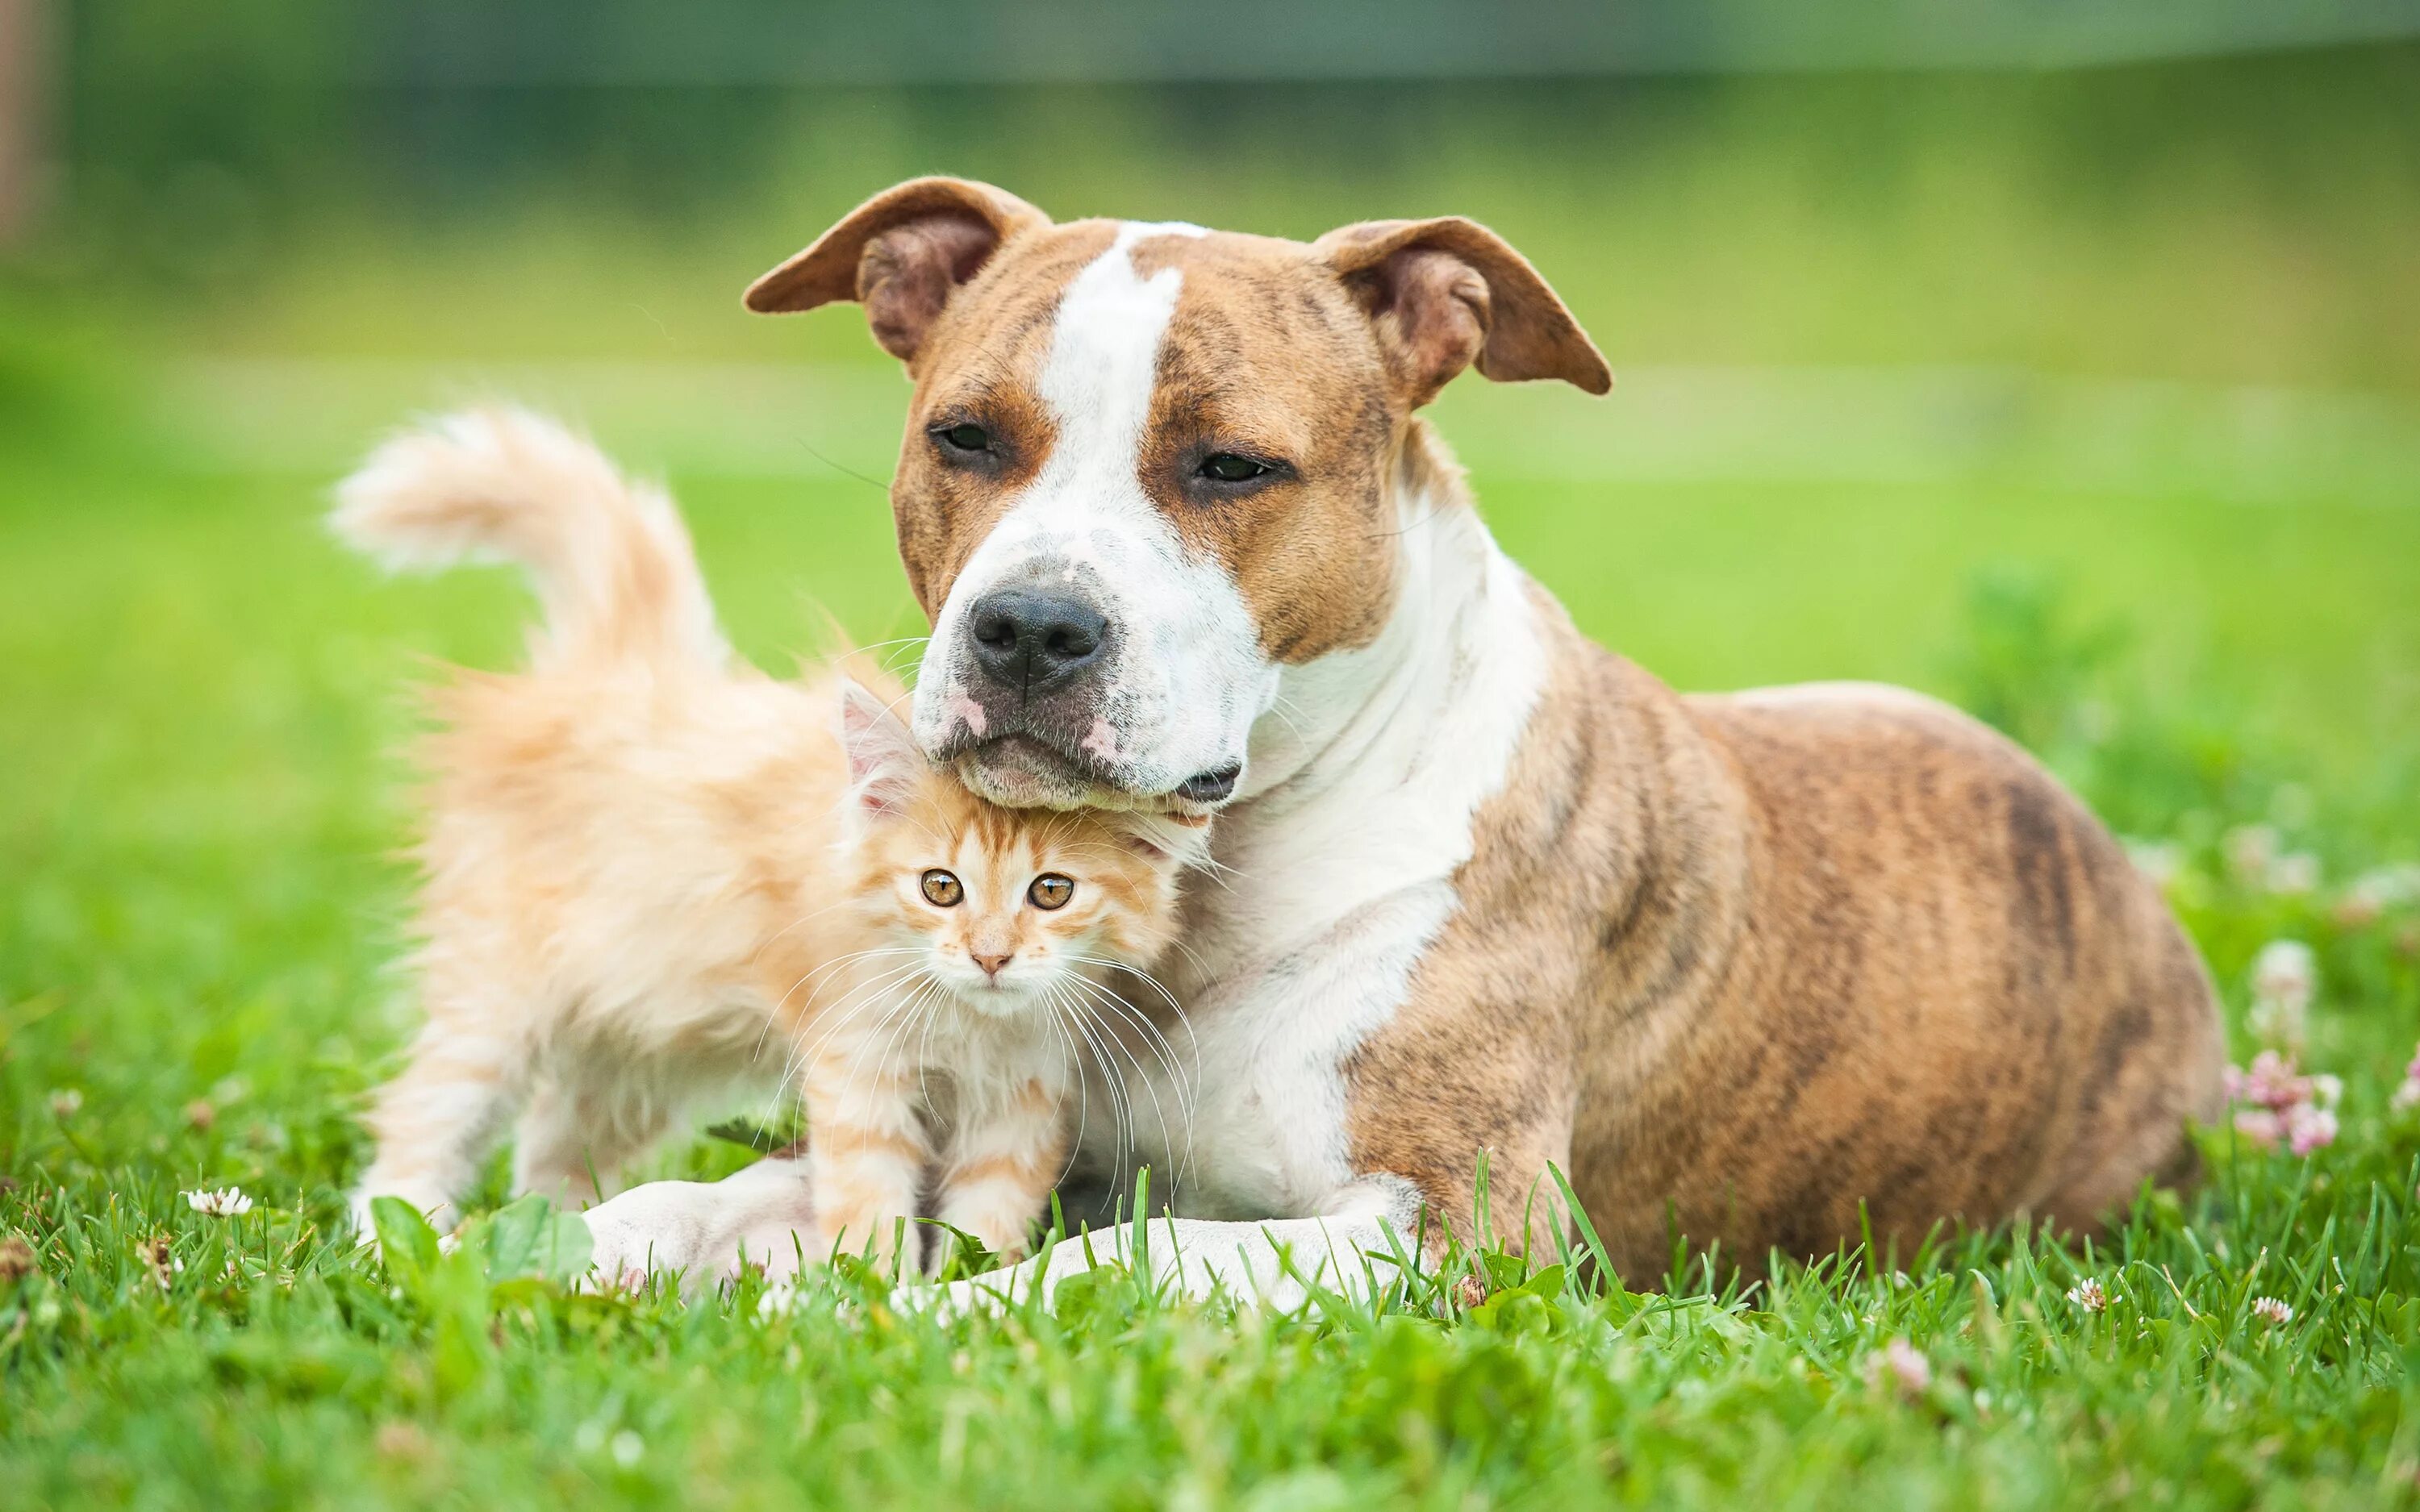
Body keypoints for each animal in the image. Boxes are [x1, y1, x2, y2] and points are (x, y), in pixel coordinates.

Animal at [341, 406, 1200, 1268]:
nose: (991, 957)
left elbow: (985, 1220)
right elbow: (871, 1203)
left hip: (629, 1038)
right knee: (422, 1119)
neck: (968, 1023)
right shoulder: (856, 1067)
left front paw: (962, 1281)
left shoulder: (1021, 1098)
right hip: (497, 999)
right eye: (940, 887)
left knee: (554, 1143)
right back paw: (393, 1239)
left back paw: (554, 1230)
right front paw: (879, 1286)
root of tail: (617, 672)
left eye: (1051, 892)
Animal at [571, 180, 2226, 1297]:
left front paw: (934, 1321)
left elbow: (1126, 1260)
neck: (1203, 879)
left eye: (1232, 466)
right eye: (964, 438)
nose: (1031, 628)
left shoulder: (1456, 1225)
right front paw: (542, 1257)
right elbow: (685, 1207)